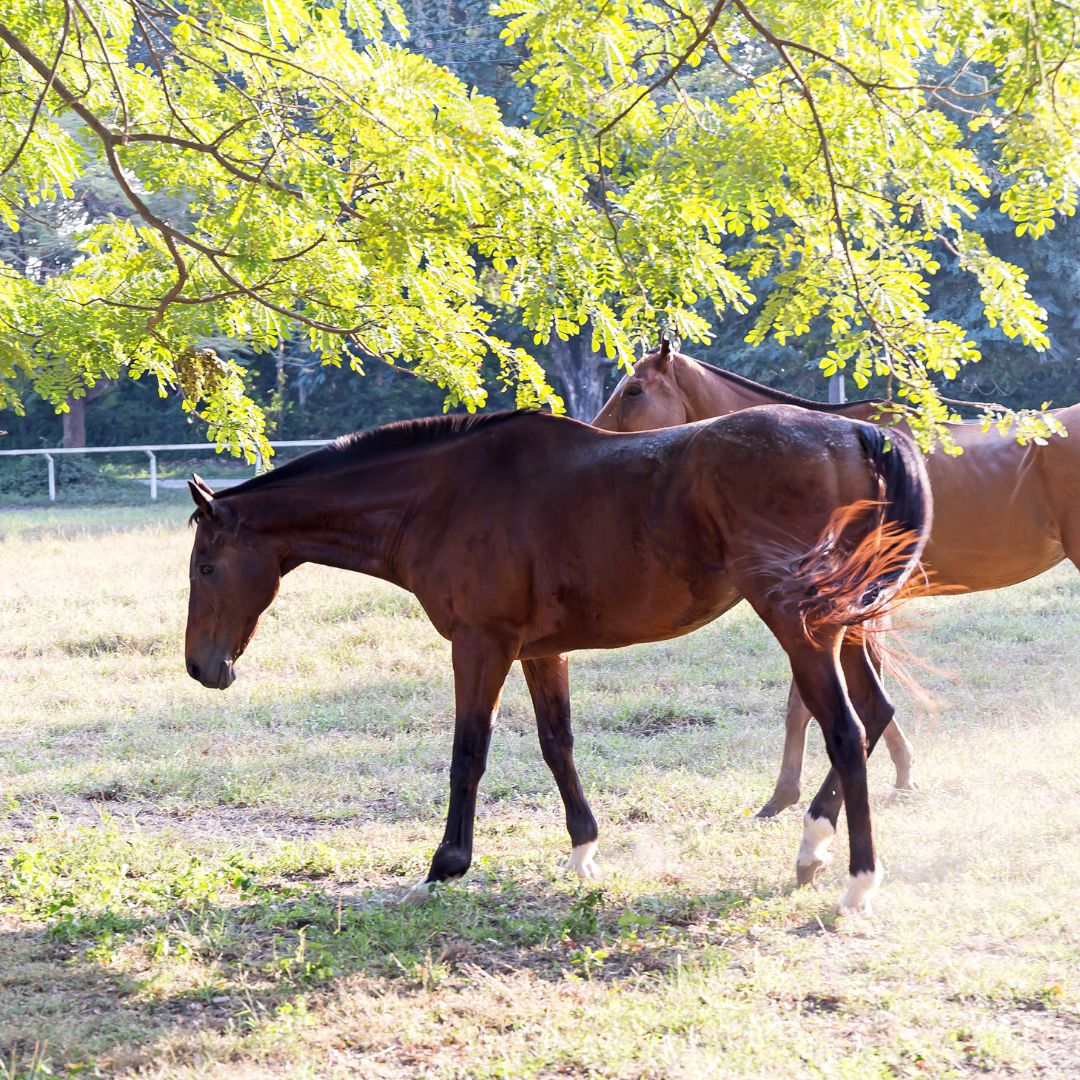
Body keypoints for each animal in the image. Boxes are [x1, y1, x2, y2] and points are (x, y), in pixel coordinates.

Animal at [185, 407, 931, 914]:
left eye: (206, 566)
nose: (201, 668)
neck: (442, 495)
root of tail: (856, 434)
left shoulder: (480, 644)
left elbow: (468, 752)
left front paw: (446, 865)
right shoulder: (541, 653)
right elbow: (557, 744)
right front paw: (583, 849)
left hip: (802, 627)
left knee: (845, 731)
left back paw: (856, 883)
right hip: (841, 628)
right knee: (874, 715)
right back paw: (812, 849)